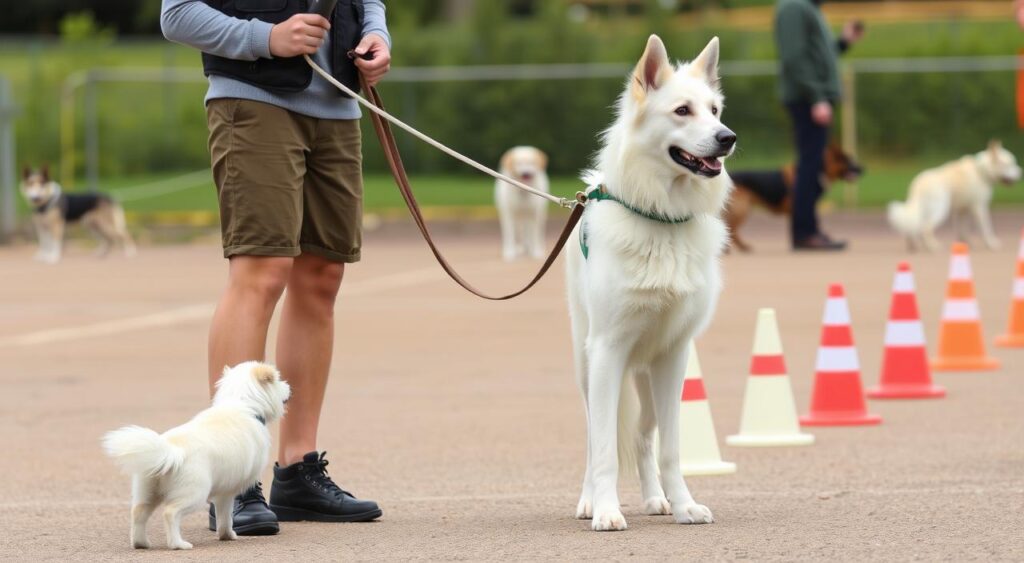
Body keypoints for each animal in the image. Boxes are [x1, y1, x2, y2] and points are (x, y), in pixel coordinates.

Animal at [101, 362, 288, 552]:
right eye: (279, 380)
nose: (289, 387)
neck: (242, 403)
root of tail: (172, 452)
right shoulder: (228, 492)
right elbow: (226, 517)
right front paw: (229, 535)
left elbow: (223, 517)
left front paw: (225, 536)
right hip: (194, 494)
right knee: (170, 513)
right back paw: (178, 544)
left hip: (148, 491)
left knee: (138, 513)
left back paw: (141, 543)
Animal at [569, 35, 737, 532]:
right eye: (682, 111)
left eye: (715, 110)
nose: (728, 138)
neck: (661, 217)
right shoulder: (607, 351)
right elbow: (605, 448)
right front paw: (606, 511)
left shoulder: (674, 355)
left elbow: (671, 448)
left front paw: (684, 506)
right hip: (588, 363)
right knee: (594, 439)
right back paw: (589, 502)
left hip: (643, 371)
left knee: (644, 437)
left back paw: (656, 499)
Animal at [724, 144, 860, 252]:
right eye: (847, 161)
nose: (862, 169)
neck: (820, 170)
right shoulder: (801, 208)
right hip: (742, 210)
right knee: (733, 230)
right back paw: (739, 247)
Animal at [884, 142, 1019, 252]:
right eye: (1010, 164)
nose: (1019, 173)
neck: (981, 171)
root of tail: (919, 184)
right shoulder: (979, 207)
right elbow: (987, 228)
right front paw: (991, 244)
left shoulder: (962, 210)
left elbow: (962, 228)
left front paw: (964, 242)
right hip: (940, 209)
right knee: (926, 228)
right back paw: (933, 246)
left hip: (924, 210)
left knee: (914, 226)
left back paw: (913, 246)